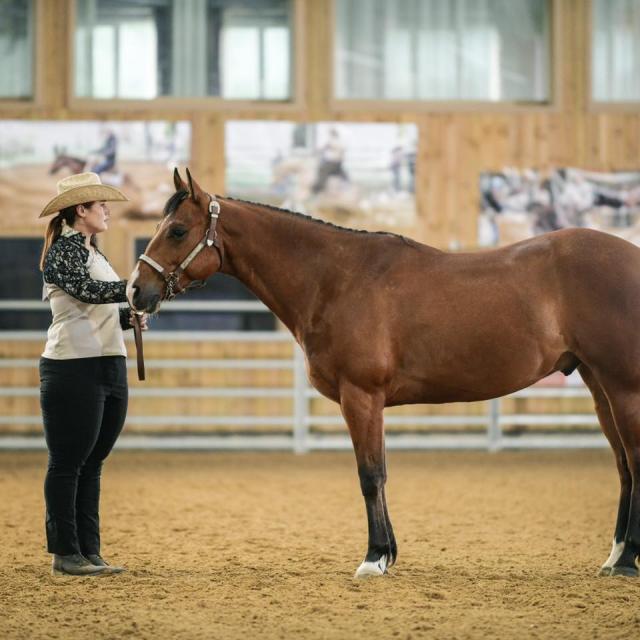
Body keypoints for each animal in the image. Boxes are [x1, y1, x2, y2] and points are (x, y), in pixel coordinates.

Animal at [127, 168, 640, 576]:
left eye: (177, 230)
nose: (135, 291)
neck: (335, 278)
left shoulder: (362, 396)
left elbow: (370, 475)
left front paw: (374, 558)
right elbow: (379, 472)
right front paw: (388, 553)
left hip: (623, 388)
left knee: (634, 461)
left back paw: (627, 561)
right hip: (599, 386)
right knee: (623, 467)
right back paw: (615, 557)